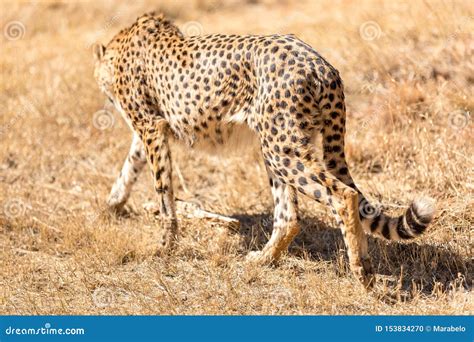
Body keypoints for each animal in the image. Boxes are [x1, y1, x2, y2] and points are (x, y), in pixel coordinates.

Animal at [90, 12, 436, 288]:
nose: (105, 97)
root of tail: (321, 64)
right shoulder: (150, 131)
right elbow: (129, 166)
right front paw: (111, 205)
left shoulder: (150, 127)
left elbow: (163, 193)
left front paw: (163, 247)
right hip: (283, 144)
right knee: (291, 215)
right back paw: (266, 259)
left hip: (280, 148)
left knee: (343, 195)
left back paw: (361, 272)